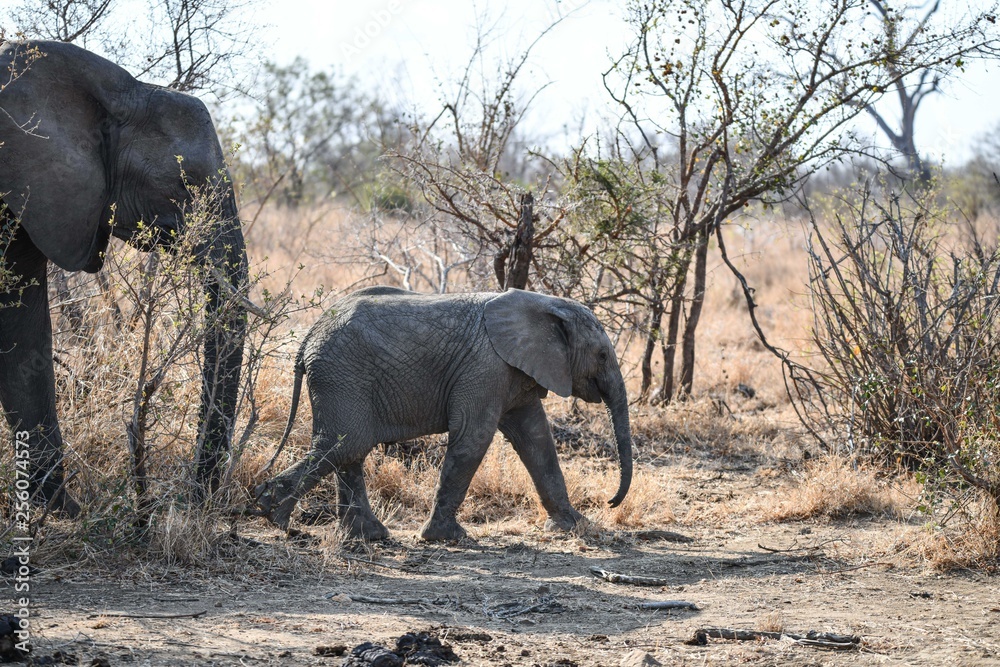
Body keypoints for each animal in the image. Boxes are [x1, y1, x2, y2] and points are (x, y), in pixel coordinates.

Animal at [255, 286, 633, 541]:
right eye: (602, 355)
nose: (610, 501)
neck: (544, 304)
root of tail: (308, 338)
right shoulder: (485, 367)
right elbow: (473, 437)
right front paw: (446, 537)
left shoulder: (513, 371)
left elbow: (537, 441)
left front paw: (575, 526)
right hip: (342, 376)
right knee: (346, 445)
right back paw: (272, 514)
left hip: (340, 379)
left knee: (348, 449)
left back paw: (368, 536)